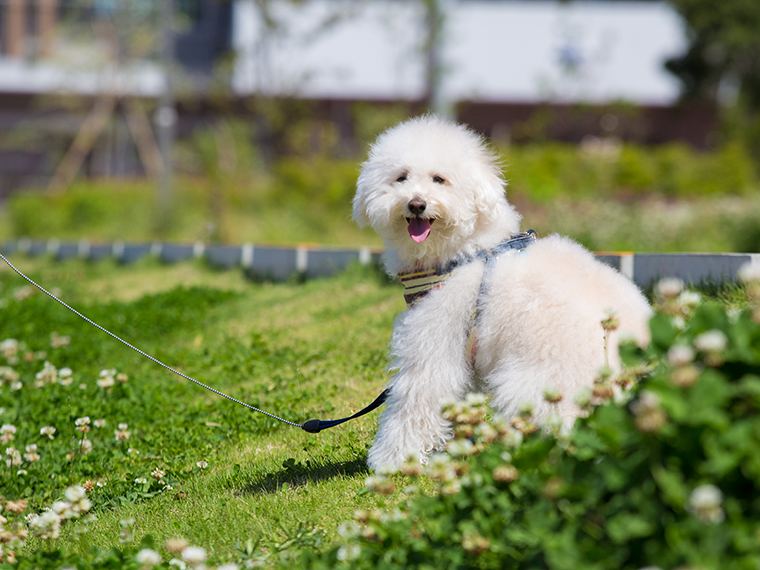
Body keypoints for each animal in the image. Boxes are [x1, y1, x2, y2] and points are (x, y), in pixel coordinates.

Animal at [354, 115, 652, 470]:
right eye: (401, 178)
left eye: (439, 179)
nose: (416, 204)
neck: (466, 252)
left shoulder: (435, 343)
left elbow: (415, 401)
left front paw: (392, 459)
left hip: (525, 385)